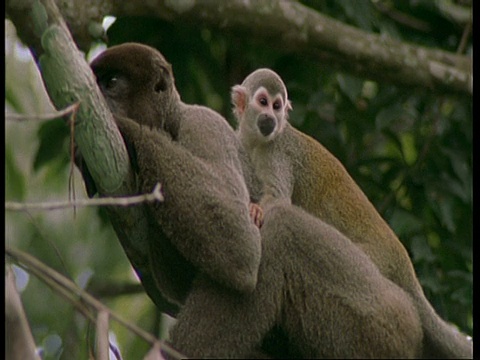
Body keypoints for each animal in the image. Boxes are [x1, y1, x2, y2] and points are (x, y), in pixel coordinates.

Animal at [232, 68, 472, 360]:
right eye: (263, 102)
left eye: (277, 106)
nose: (271, 119)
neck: (257, 141)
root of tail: (402, 261)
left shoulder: (278, 151)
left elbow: (278, 199)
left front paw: (257, 209)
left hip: (372, 262)